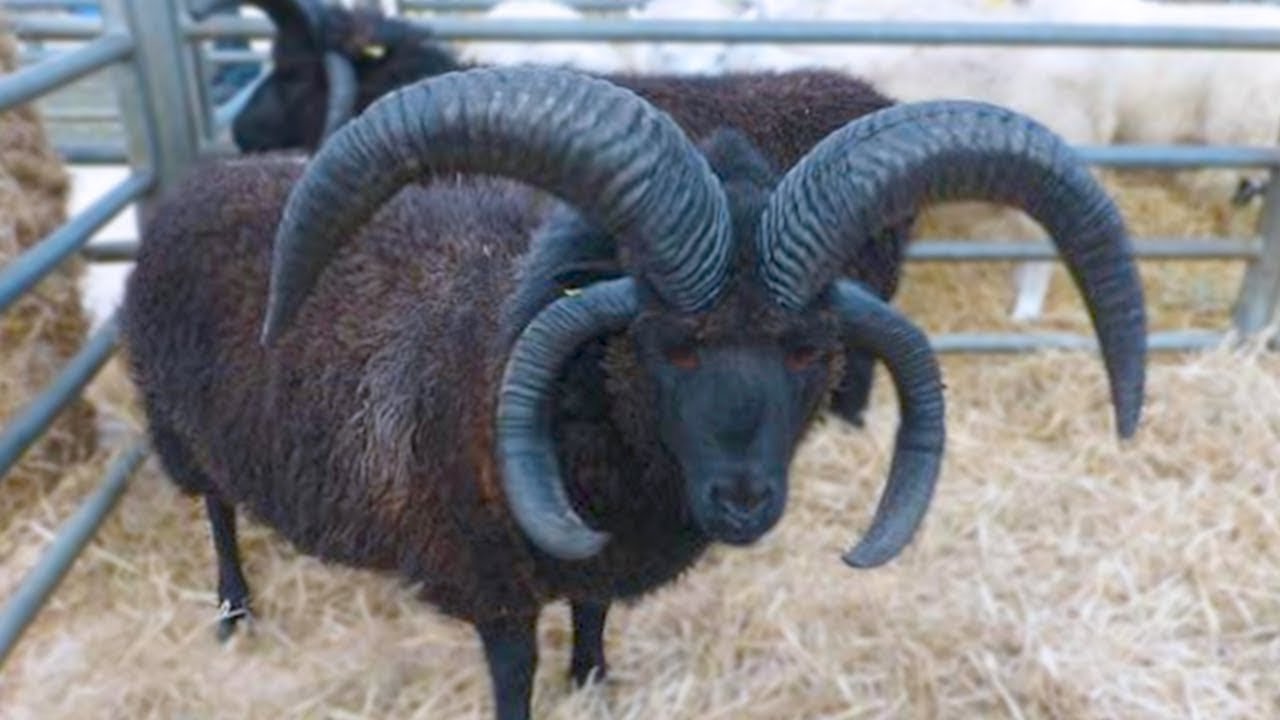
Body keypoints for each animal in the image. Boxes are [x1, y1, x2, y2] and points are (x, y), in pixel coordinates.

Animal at [123, 65, 1147, 719]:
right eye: (666, 344)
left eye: (809, 349)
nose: (743, 502)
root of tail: (200, 181)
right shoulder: (492, 586)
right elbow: (514, 684)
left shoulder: (601, 562)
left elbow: (595, 617)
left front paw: (594, 685)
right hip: (176, 428)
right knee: (215, 512)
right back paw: (234, 610)